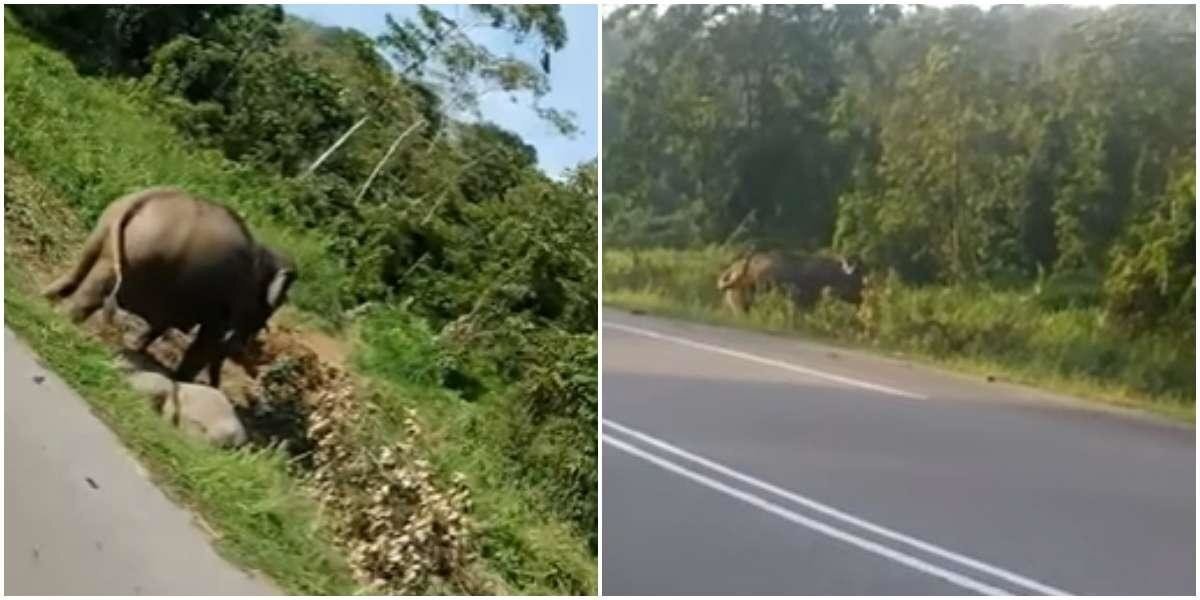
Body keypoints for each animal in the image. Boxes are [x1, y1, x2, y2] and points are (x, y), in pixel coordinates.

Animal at [43, 184, 296, 386]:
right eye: (268, 311)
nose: (216, 388)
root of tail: (141, 199)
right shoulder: (226, 303)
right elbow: (206, 342)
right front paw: (181, 380)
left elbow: (164, 323)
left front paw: (137, 347)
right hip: (144, 250)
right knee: (94, 293)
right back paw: (66, 322)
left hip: (103, 231)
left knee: (76, 275)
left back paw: (45, 301)